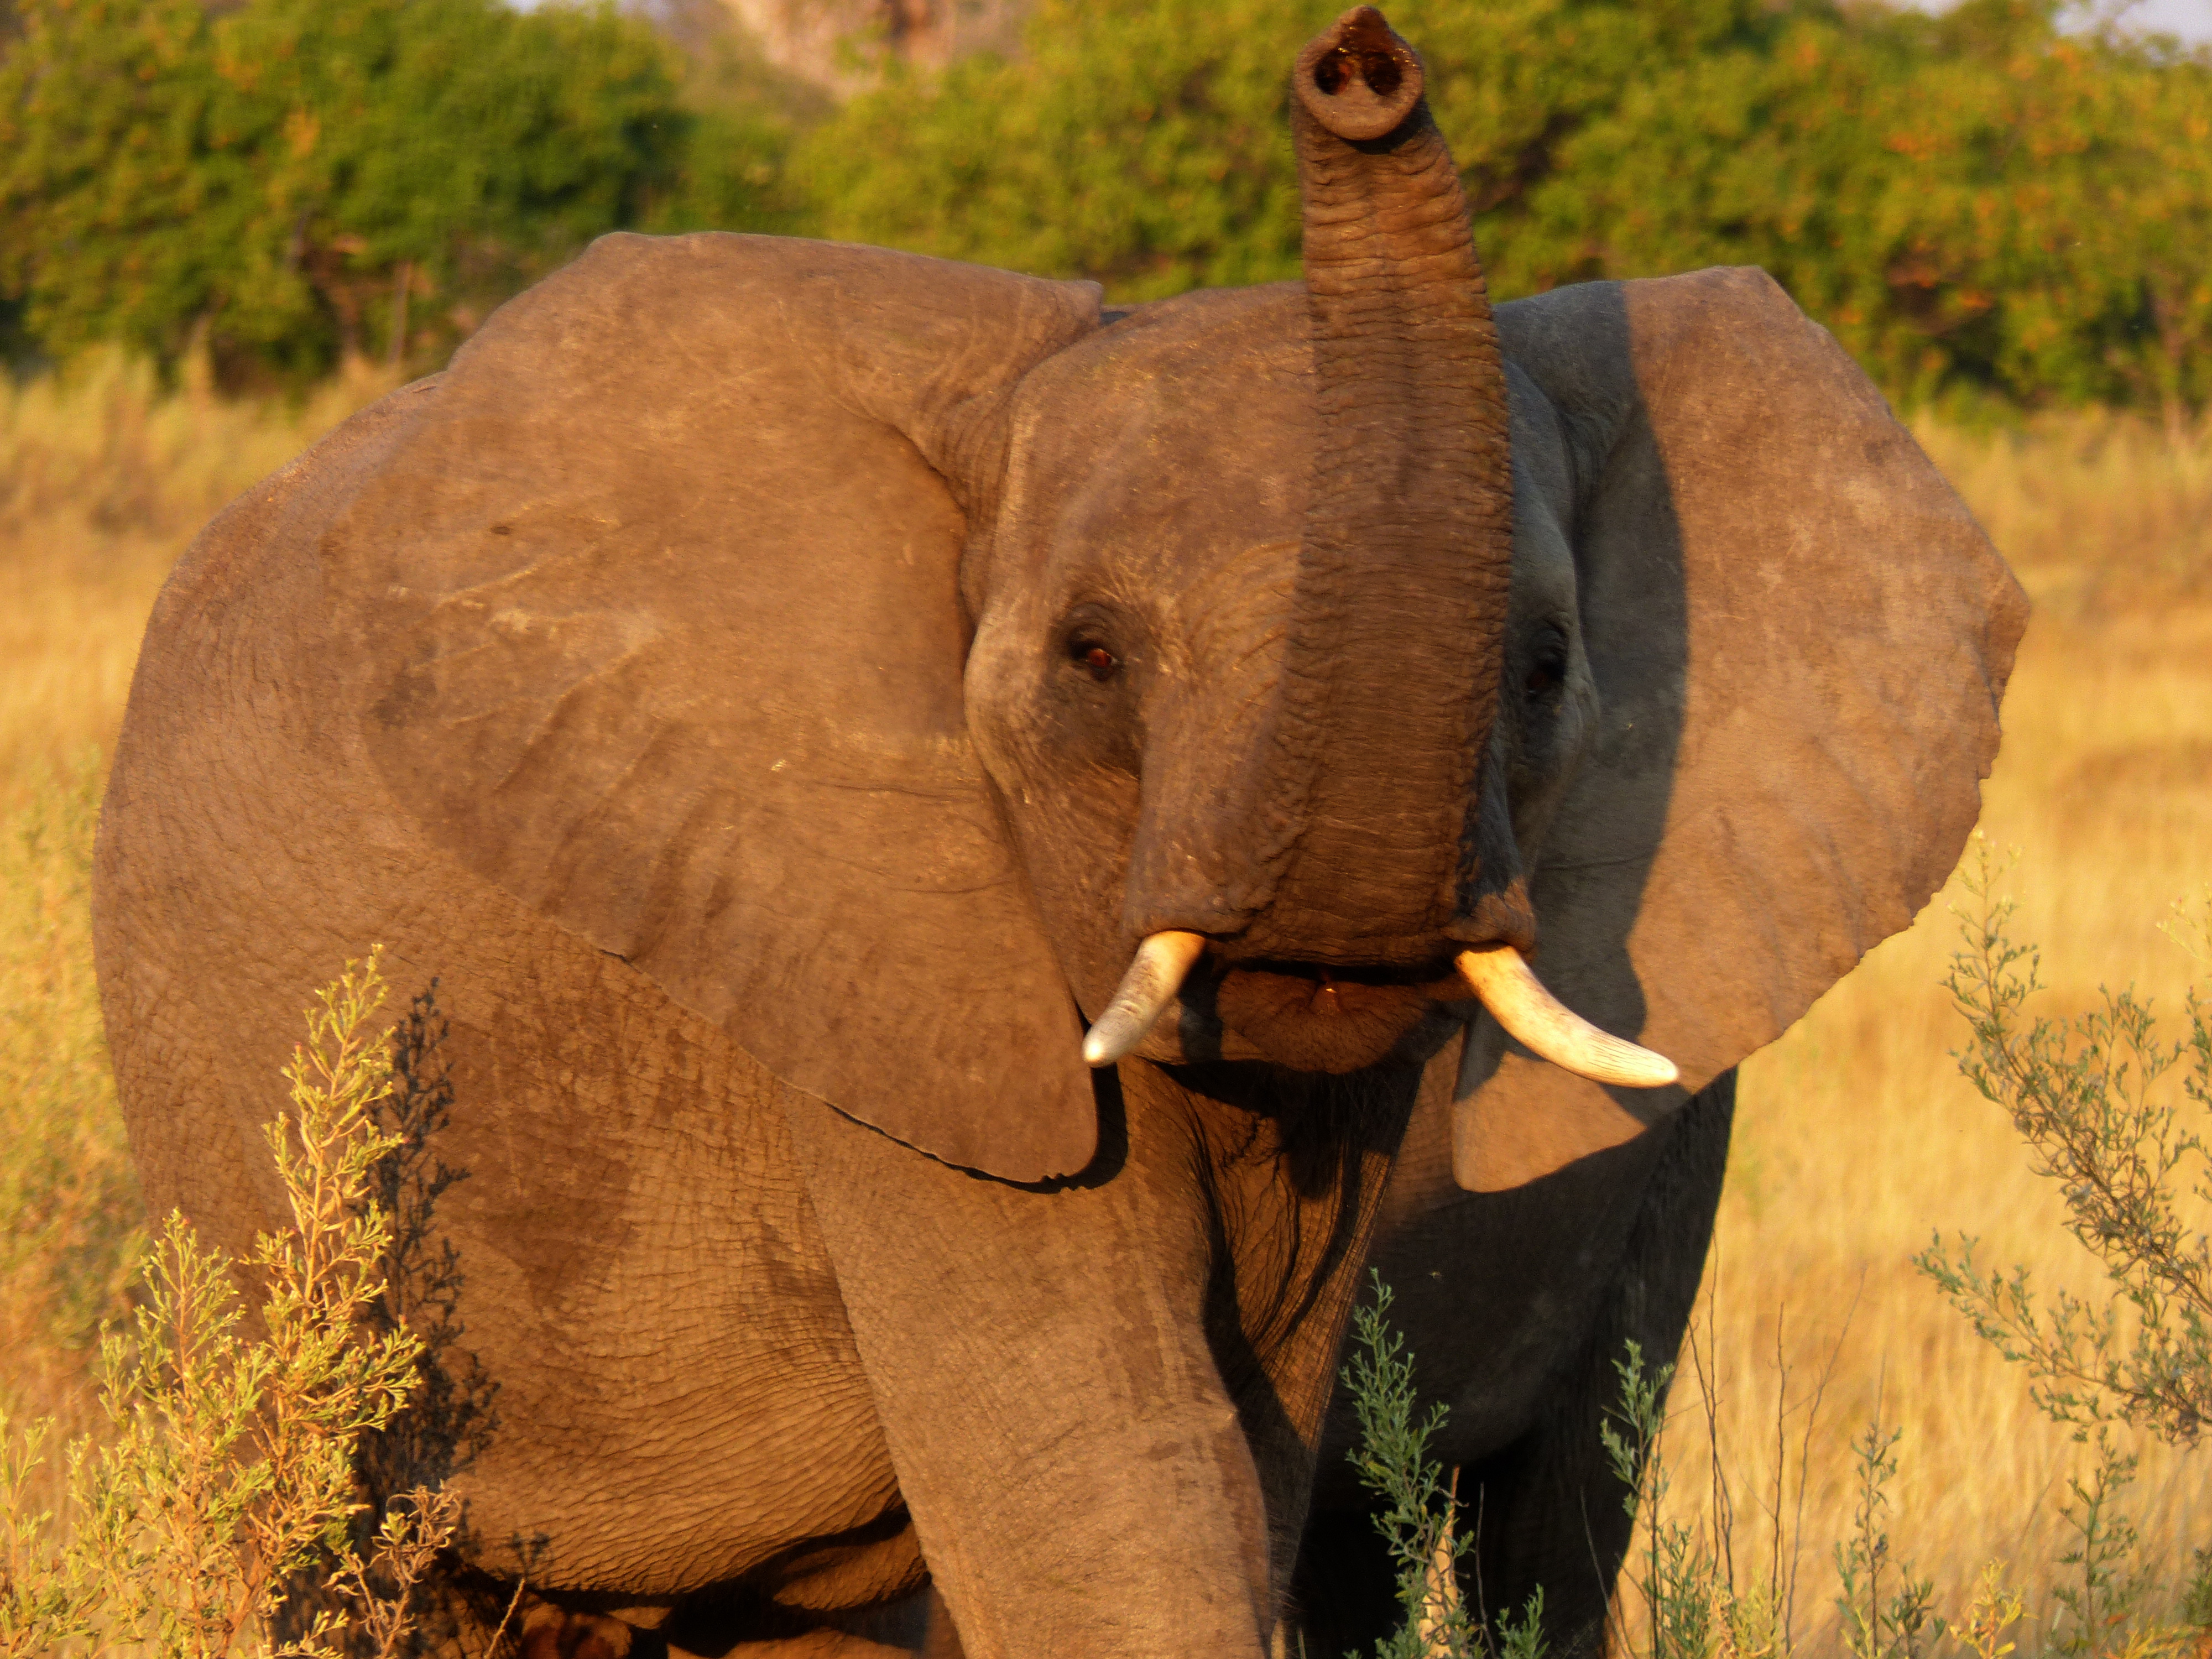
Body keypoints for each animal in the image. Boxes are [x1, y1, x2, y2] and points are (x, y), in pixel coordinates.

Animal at [90, 6, 2025, 1657]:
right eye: (1091, 655)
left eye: (1543, 668)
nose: (1360, 61)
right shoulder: (862, 977)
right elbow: (1110, 1494)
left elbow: (1244, 1462)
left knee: (1539, 1528)